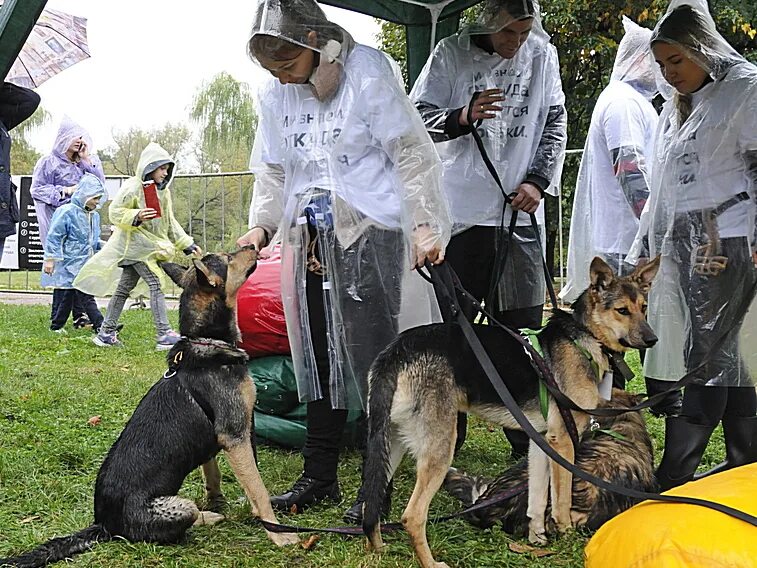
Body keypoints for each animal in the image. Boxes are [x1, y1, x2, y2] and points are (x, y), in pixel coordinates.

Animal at [2, 247, 298, 568]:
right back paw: (207, 517)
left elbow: (213, 474)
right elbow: (259, 490)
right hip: (179, 506)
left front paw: (218, 500)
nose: (254, 247)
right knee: (177, 524)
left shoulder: (218, 437)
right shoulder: (235, 436)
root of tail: (103, 524)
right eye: (228, 258)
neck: (208, 341)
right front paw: (279, 534)